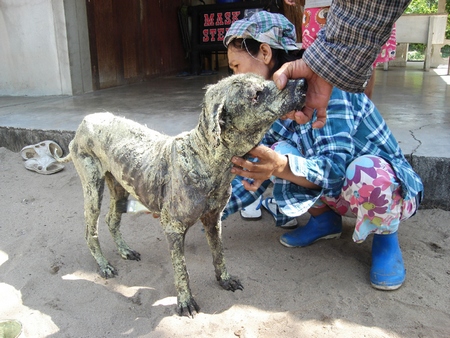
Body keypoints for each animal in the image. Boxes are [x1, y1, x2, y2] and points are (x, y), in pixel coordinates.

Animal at [57, 74, 306, 316]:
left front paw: (224, 280)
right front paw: (185, 301)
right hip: (92, 187)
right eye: (256, 94)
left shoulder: (213, 220)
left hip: (118, 187)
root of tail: (85, 121)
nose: (303, 83)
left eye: (268, 80)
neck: (204, 158)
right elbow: (182, 270)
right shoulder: (173, 229)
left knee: (112, 220)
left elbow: (219, 254)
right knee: (90, 231)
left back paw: (124, 250)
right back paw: (103, 264)